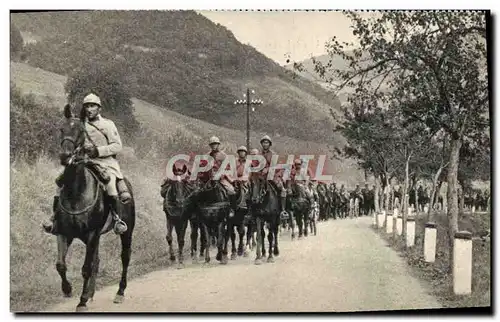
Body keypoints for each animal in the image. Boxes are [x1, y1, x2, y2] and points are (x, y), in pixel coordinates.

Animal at [53, 105, 135, 312]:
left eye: (81, 132)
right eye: (62, 129)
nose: (65, 156)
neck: (76, 193)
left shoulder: (91, 234)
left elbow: (86, 268)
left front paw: (81, 301)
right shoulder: (64, 232)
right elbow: (60, 265)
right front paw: (67, 290)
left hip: (126, 232)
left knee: (125, 257)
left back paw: (119, 292)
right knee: (97, 261)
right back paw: (90, 294)